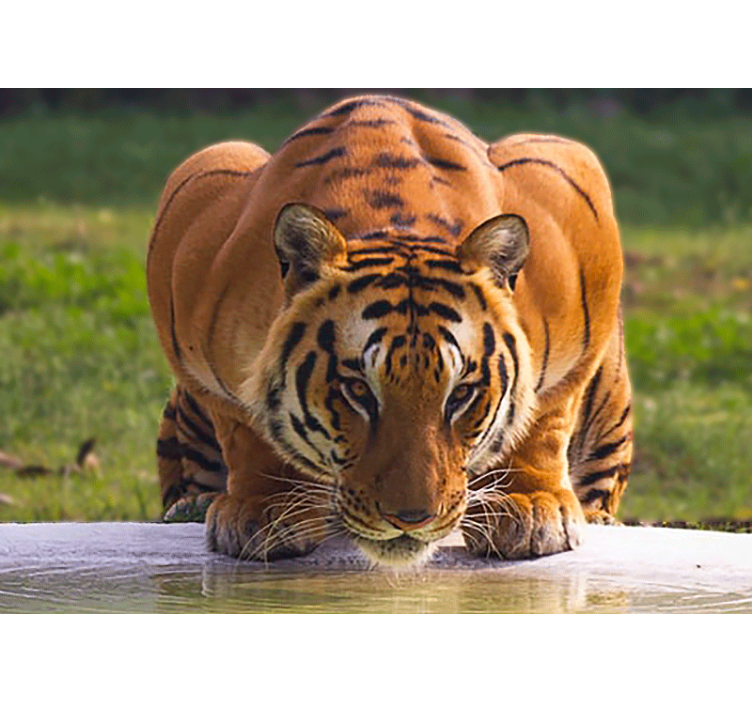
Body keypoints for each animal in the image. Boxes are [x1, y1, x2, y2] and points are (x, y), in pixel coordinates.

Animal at [147, 94, 632, 567]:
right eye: (358, 391)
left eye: (461, 394)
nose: (412, 519)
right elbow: (243, 426)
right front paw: (264, 509)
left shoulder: (571, 190)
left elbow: (546, 414)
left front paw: (530, 506)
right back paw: (190, 507)